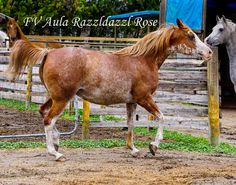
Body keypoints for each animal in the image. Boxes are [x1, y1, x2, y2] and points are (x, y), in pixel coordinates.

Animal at [6, 18, 212, 160]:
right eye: (191, 35)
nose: (209, 52)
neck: (143, 60)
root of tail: (49, 52)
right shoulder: (144, 98)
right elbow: (161, 118)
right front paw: (153, 146)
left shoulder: (131, 102)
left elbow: (131, 124)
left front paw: (134, 150)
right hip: (63, 98)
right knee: (49, 119)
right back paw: (55, 153)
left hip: (56, 96)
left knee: (43, 112)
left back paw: (57, 143)